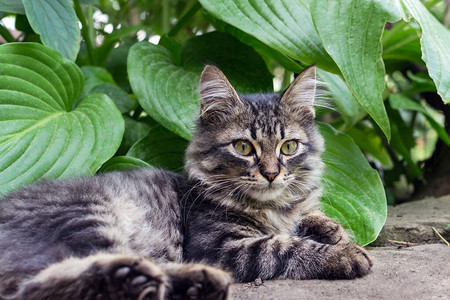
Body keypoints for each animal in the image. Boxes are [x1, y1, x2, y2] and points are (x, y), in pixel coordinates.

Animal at [0, 65, 370, 300]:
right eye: (243, 148)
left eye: (289, 147)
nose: (270, 173)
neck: (271, 207)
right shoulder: (221, 246)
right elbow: (284, 246)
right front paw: (346, 253)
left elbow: (305, 218)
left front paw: (332, 230)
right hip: (90, 216)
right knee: (36, 288)